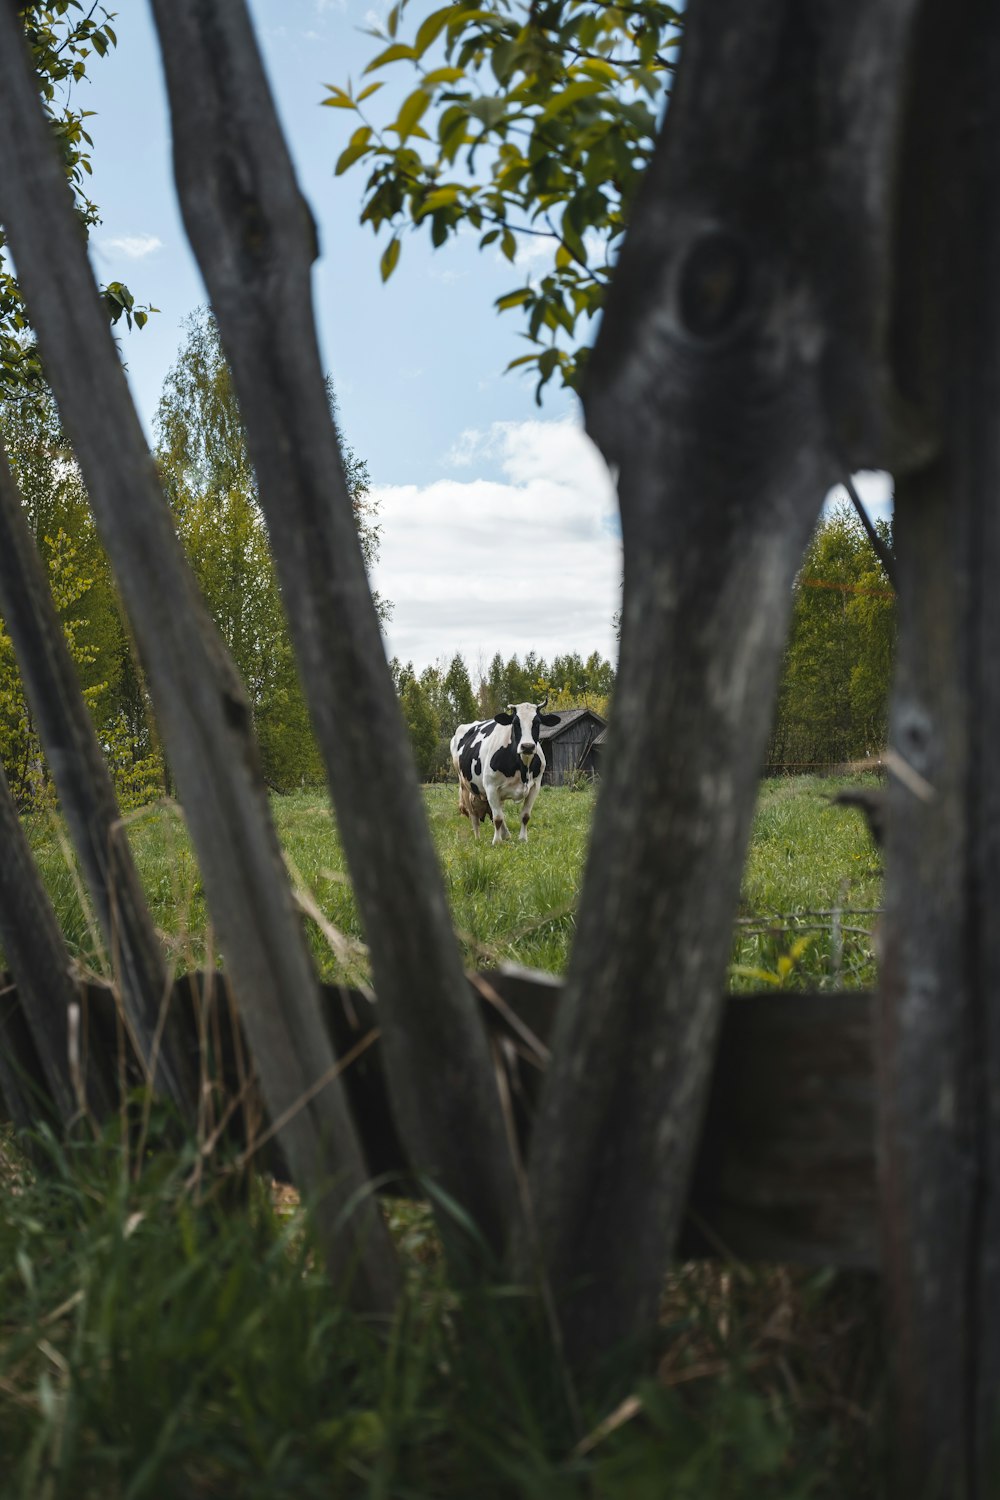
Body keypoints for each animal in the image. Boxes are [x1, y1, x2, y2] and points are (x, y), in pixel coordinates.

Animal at [449, 699, 560, 846]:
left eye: (537, 722)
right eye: (515, 723)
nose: (527, 746)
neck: (522, 768)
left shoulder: (535, 787)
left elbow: (525, 816)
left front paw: (523, 839)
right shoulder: (491, 787)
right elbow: (497, 818)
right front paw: (496, 842)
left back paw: (506, 835)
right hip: (465, 787)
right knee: (474, 816)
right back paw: (478, 838)